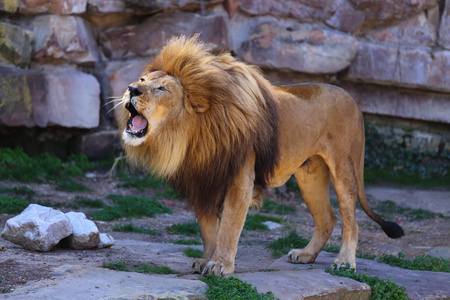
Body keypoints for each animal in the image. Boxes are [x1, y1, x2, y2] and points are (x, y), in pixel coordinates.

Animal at [116, 35, 404, 276]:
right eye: (143, 81)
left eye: (162, 88)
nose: (131, 89)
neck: (191, 132)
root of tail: (352, 99)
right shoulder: (204, 179)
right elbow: (208, 229)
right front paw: (206, 259)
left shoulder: (239, 178)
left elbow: (229, 226)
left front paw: (220, 265)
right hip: (310, 176)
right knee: (327, 219)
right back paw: (306, 255)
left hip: (345, 168)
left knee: (350, 221)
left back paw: (344, 263)